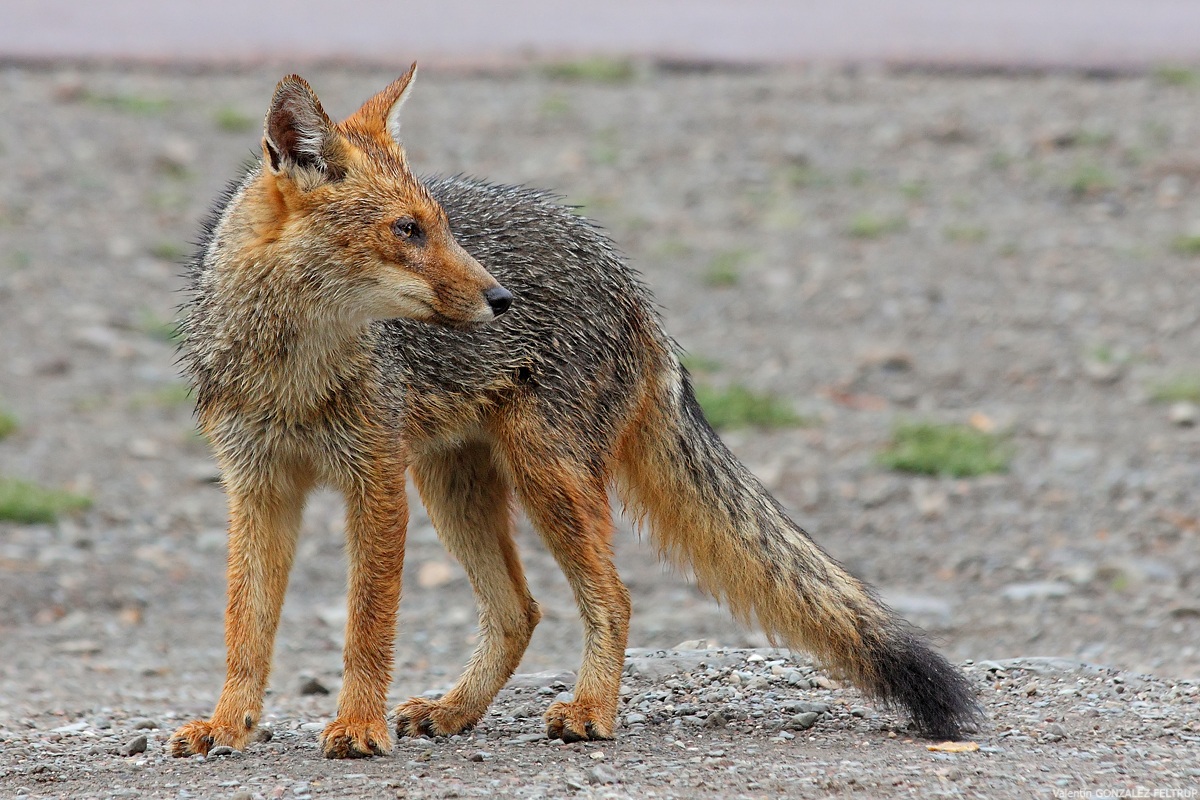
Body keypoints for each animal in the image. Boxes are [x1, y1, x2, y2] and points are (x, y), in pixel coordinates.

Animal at [169, 65, 980, 760]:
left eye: (439, 224)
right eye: (407, 230)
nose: (500, 299)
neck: (292, 372)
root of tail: (630, 281)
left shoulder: (375, 480)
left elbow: (368, 623)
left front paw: (359, 725)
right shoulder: (257, 485)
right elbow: (245, 627)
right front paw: (227, 724)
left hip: (540, 475)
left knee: (610, 598)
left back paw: (591, 710)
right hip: (453, 484)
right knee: (519, 610)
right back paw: (457, 711)